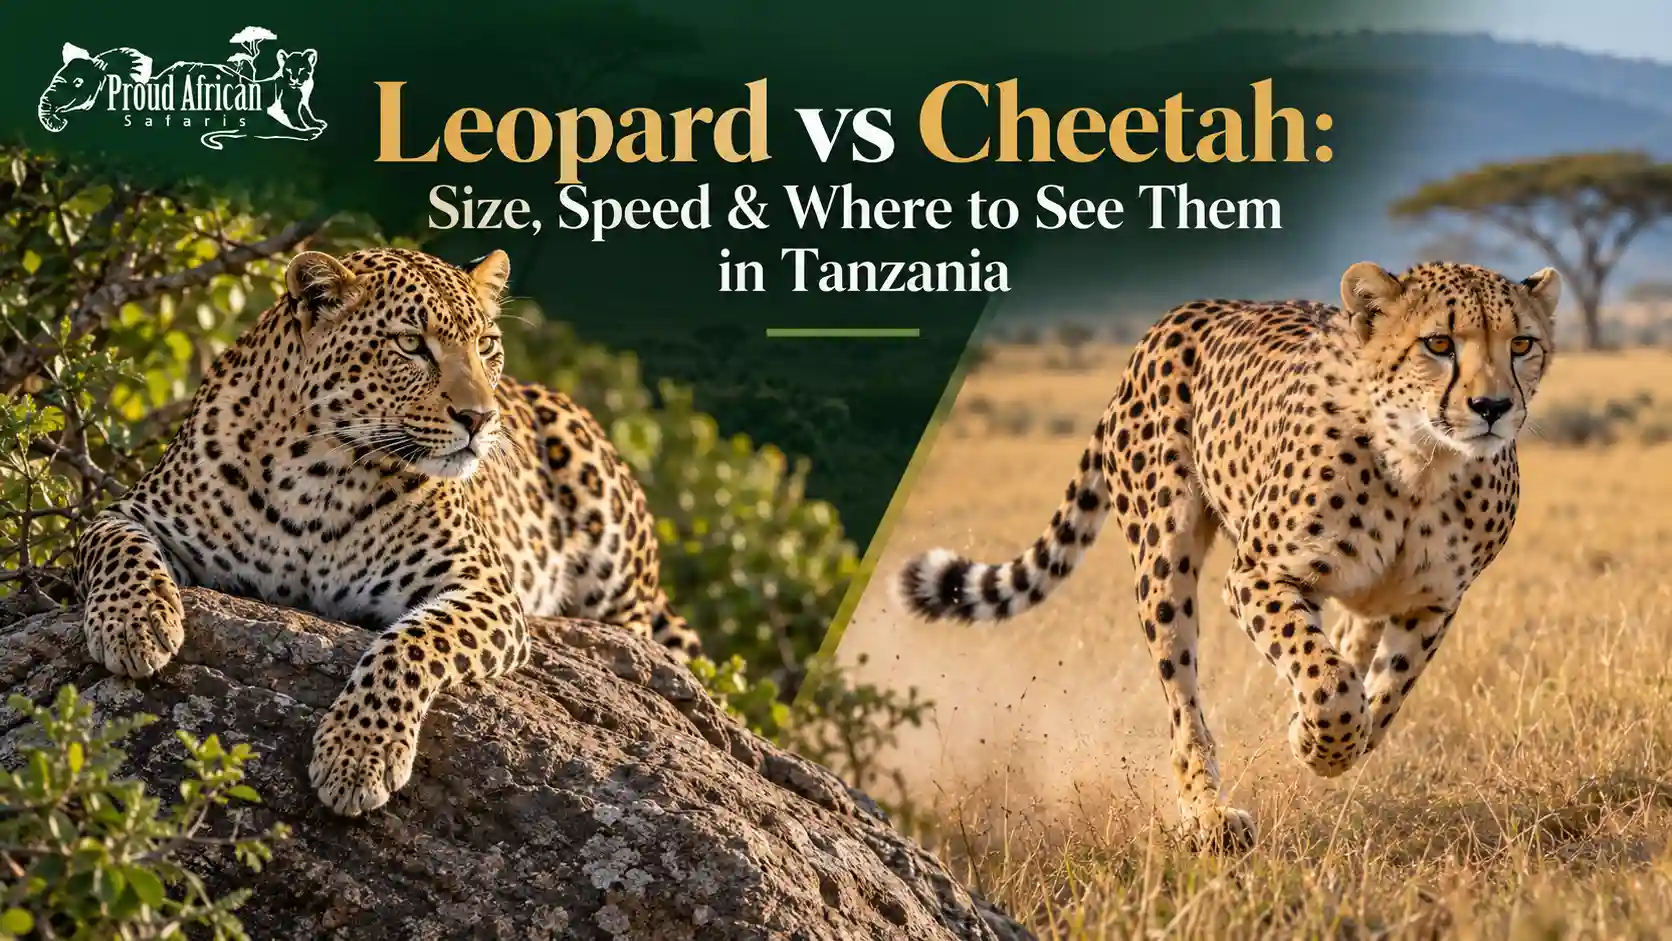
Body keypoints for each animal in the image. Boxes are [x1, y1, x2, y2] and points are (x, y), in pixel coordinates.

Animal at [75, 246, 703, 817]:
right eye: (411, 345)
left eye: (486, 346)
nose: (481, 418)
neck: (319, 476)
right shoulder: (130, 512)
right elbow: (119, 548)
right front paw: (134, 626)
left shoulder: (485, 586)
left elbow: (412, 642)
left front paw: (358, 757)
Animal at [896, 260, 1561, 852]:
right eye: (1439, 343)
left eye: (1521, 343)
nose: (1494, 407)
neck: (1422, 466)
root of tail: (1179, 315)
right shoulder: (1259, 575)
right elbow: (1327, 680)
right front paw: (1321, 743)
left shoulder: (1432, 602)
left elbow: (1386, 692)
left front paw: (1324, 738)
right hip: (1163, 558)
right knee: (1183, 704)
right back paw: (1209, 815)